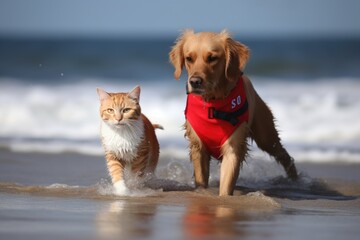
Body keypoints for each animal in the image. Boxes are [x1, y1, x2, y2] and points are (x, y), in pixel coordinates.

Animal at [169, 30, 298, 196]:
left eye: (212, 58)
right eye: (189, 58)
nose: (195, 82)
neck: (213, 104)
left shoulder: (233, 146)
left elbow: (226, 184)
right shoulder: (198, 147)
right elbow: (201, 179)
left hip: (266, 134)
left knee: (283, 154)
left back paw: (296, 179)